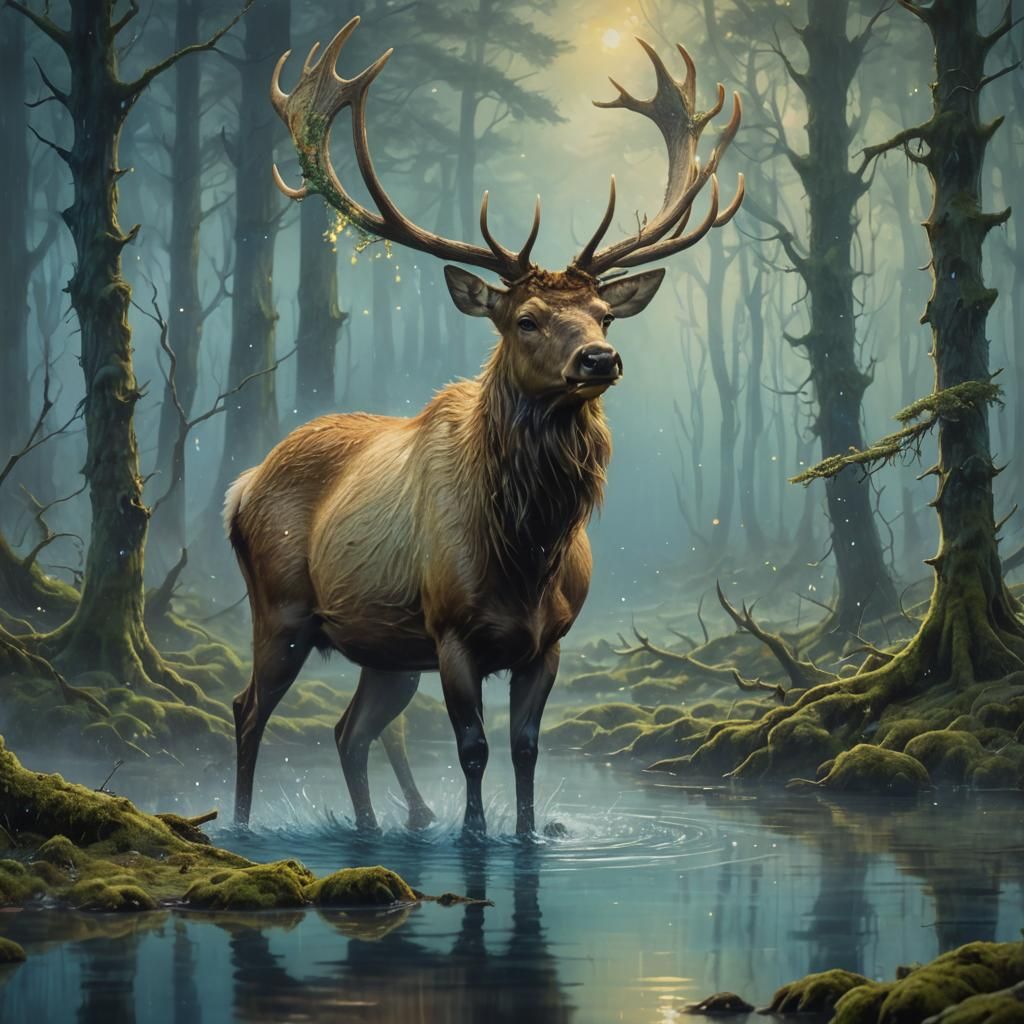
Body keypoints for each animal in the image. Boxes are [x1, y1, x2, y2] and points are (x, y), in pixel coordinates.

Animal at [226, 15, 743, 834]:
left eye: (602, 312)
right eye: (525, 319)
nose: (601, 357)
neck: (524, 553)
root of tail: (242, 483)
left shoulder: (548, 641)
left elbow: (526, 749)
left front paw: (527, 834)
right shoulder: (451, 631)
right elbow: (472, 748)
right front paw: (473, 834)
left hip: (383, 645)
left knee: (351, 730)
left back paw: (378, 825)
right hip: (282, 609)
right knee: (249, 709)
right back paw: (244, 825)